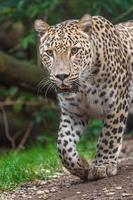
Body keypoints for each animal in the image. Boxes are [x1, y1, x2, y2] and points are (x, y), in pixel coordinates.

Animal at [34, 14, 133, 180]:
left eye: (74, 50)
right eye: (49, 53)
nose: (61, 76)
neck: (84, 87)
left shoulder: (117, 104)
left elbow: (109, 136)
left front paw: (102, 165)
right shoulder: (73, 112)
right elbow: (63, 144)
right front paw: (82, 165)